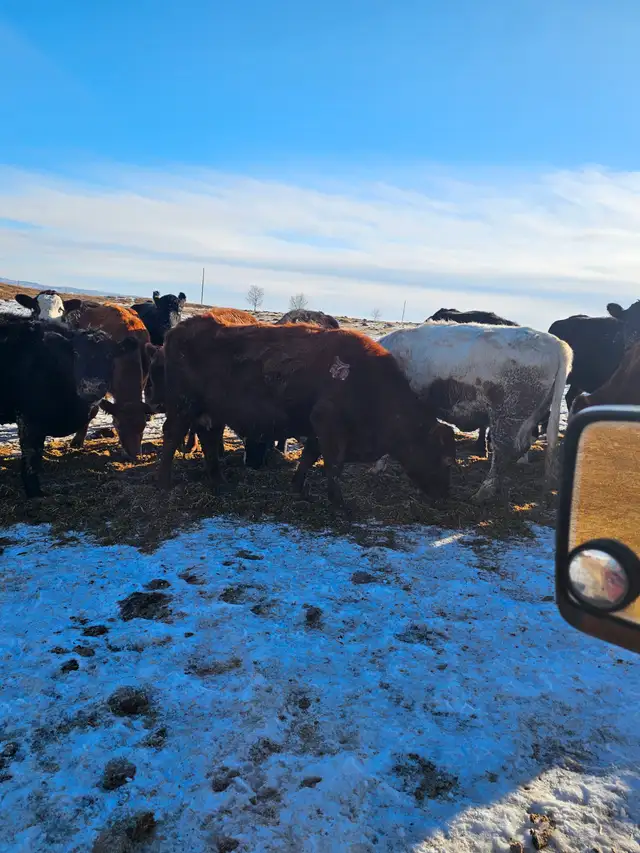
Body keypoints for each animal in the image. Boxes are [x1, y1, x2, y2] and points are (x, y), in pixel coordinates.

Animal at [0, 315, 137, 497]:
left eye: (109, 354)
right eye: (76, 353)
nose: (92, 387)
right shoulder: (27, 417)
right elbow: (32, 455)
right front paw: (35, 493)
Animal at [156, 318, 456, 508]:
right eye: (443, 459)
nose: (445, 494)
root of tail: (175, 332)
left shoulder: (317, 428)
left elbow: (310, 457)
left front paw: (298, 487)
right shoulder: (329, 423)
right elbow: (332, 464)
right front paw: (340, 503)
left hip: (211, 413)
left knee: (208, 439)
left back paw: (220, 483)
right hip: (183, 407)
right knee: (171, 436)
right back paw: (165, 483)